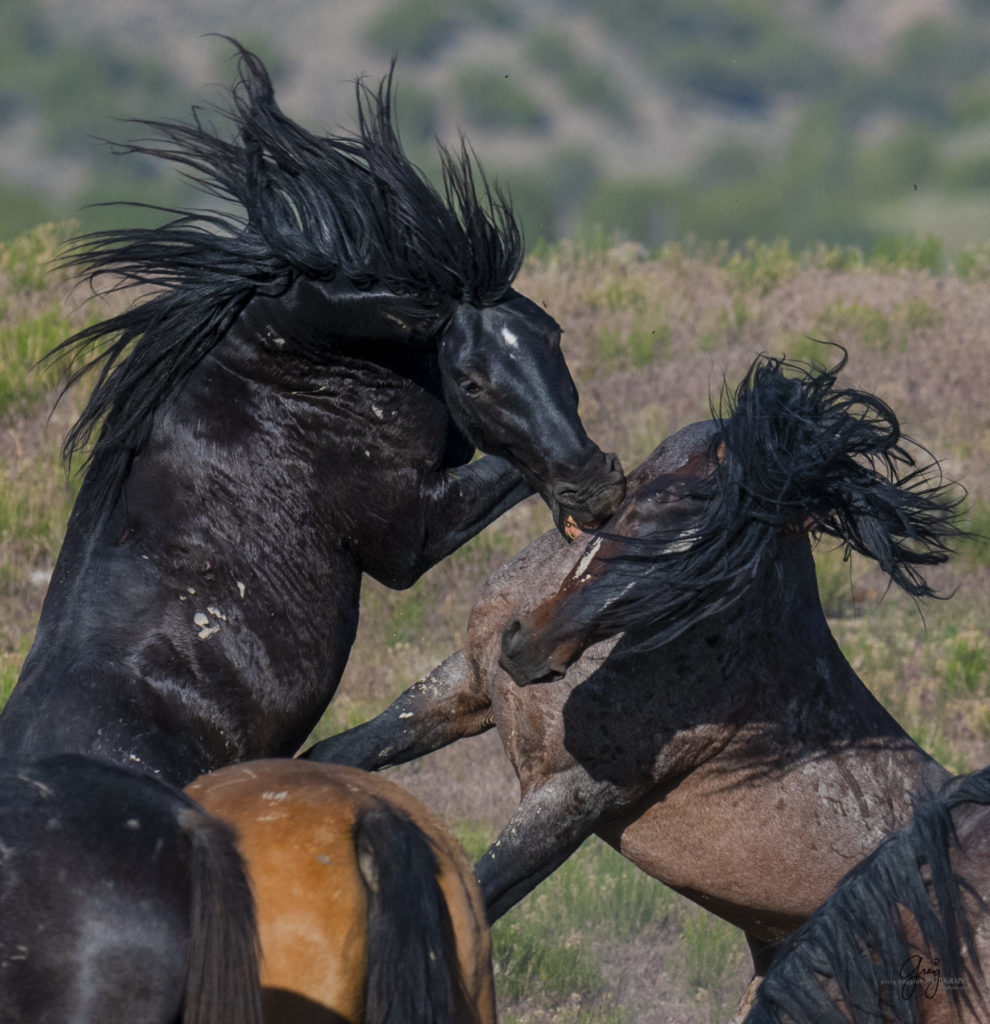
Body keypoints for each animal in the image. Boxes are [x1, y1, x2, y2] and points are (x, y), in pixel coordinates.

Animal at [0, 41, 622, 782]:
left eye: (553, 336)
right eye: (470, 381)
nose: (596, 486)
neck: (286, 380)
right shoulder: (411, 535)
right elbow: (505, 471)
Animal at [305, 352, 962, 1015]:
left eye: (707, 587)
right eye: (651, 504)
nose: (529, 650)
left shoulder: (573, 797)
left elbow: (475, 902)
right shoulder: (462, 684)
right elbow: (333, 756)